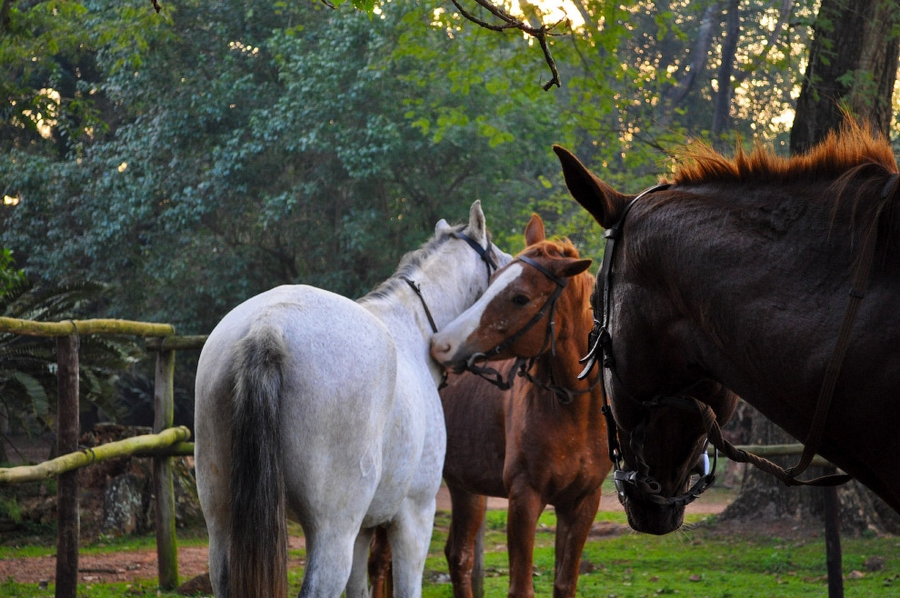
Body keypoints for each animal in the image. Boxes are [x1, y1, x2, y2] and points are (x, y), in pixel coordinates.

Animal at [193, 203, 510, 598]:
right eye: (499, 266)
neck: (413, 333)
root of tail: (269, 325)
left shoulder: (364, 529)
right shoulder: (414, 516)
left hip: (222, 521)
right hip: (333, 532)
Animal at [430, 216, 616, 598]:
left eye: (520, 298)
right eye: (490, 283)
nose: (443, 345)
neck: (572, 411)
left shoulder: (581, 503)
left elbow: (565, 583)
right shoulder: (524, 497)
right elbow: (521, 587)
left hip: (465, 487)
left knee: (459, 555)